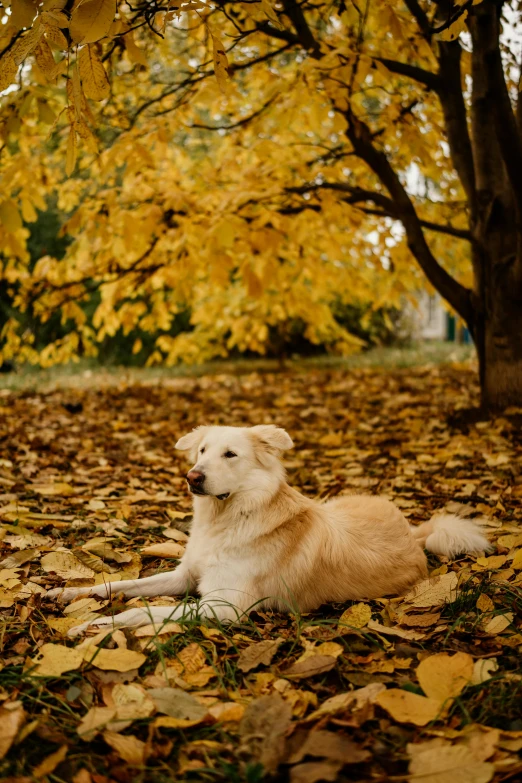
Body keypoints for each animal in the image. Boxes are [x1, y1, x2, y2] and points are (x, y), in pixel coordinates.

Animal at [47, 428, 488, 636]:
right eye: (202, 451)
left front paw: (93, 627)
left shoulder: (224, 607)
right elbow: (121, 586)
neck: (228, 519)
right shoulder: (185, 577)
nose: (192, 477)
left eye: (230, 454)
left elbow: (145, 612)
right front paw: (65, 594)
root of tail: (413, 534)